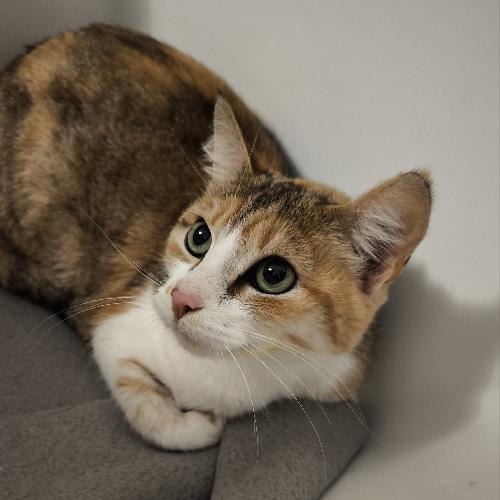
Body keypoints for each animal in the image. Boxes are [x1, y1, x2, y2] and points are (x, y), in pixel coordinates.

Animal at [0, 24, 432, 450]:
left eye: (274, 275)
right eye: (199, 237)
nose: (181, 298)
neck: (247, 370)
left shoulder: (338, 376)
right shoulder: (112, 323)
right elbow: (155, 414)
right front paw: (201, 424)